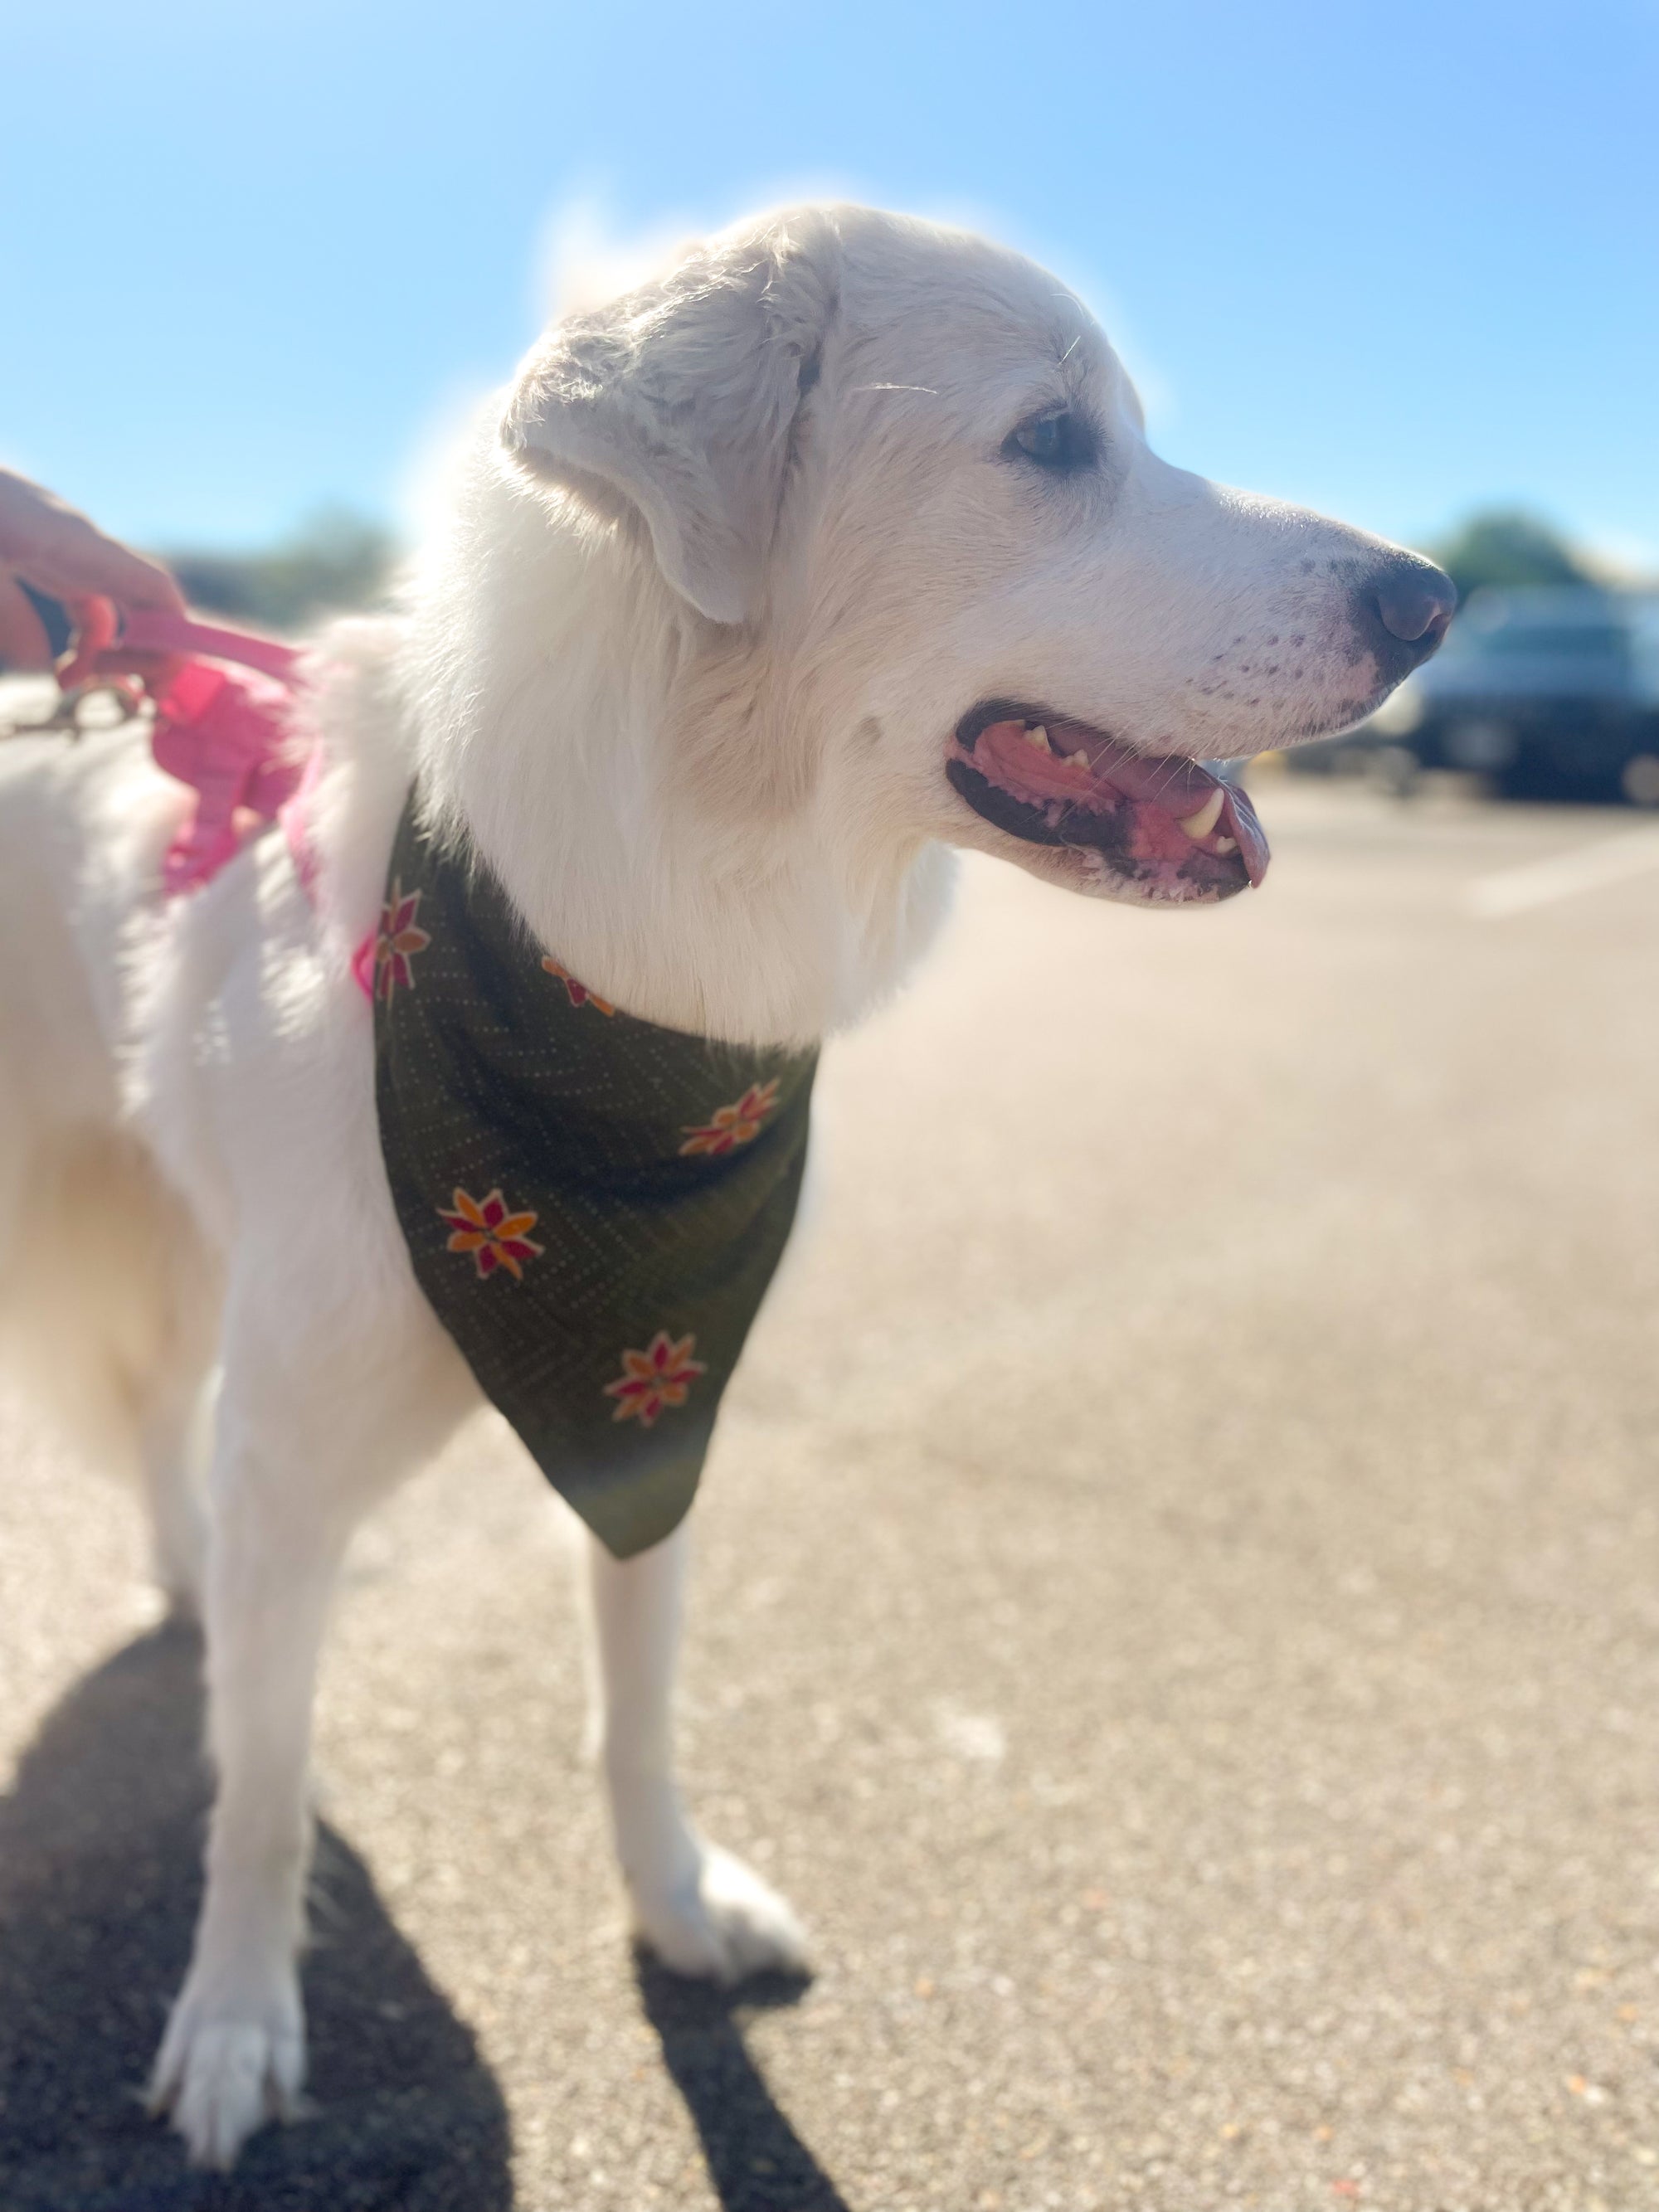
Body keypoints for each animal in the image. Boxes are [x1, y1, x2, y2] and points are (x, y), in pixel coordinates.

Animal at [0, 199, 1451, 2167]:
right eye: (1051, 441)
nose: (1433, 598)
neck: (612, 1020)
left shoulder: (648, 1406)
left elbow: (636, 1713)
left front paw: (674, 1909)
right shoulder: (301, 1434)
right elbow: (268, 1789)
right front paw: (235, 2016)